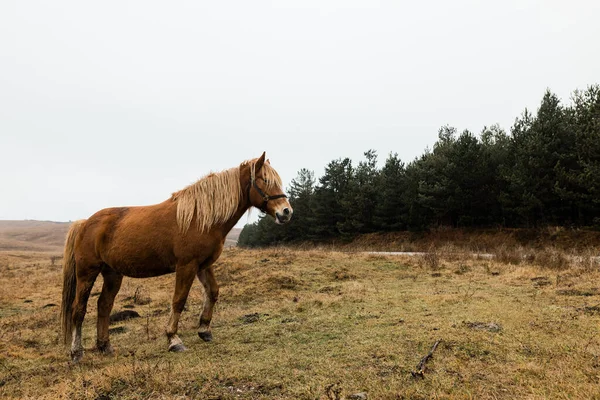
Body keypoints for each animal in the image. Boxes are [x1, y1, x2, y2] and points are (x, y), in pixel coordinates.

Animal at [60, 153, 292, 362]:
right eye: (265, 180)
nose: (286, 212)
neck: (200, 217)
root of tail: (85, 223)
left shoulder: (203, 265)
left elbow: (213, 292)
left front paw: (204, 329)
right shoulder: (187, 266)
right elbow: (179, 300)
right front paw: (173, 339)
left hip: (113, 274)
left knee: (104, 305)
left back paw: (104, 346)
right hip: (87, 273)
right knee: (78, 310)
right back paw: (76, 352)